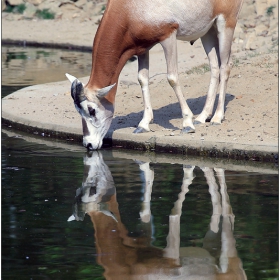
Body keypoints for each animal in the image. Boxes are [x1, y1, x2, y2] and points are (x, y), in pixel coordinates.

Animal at [65, 0, 243, 151]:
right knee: (214, 67)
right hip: (207, 31)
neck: (128, 8)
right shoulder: (142, 47)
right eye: (78, 111)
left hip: (226, 23)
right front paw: (143, 125)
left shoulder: (168, 36)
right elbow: (142, 79)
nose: (89, 144)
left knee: (225, 67)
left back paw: (217, 118)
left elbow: (172, 77)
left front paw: (187, 123)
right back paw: (202, 117)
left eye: (92, 110)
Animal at [69, 152, 246, 278]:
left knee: (228, 215)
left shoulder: (171, 256)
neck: (127, 267)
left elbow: (174, 214)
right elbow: (145, 208)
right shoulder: (145, 235)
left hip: (226, 257)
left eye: (92, 190)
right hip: (210, 246)